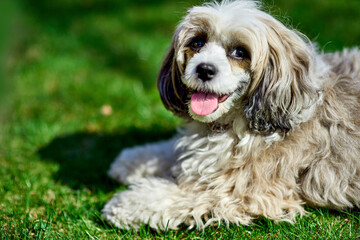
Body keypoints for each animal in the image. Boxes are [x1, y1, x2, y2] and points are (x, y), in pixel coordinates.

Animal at [102, 0, 360, 231]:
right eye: (197, 42)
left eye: (240, 52)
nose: (204, 69)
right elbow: (172, 151)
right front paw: (132, 161)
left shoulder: (243, 193)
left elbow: (179, 196)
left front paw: (125, 204)